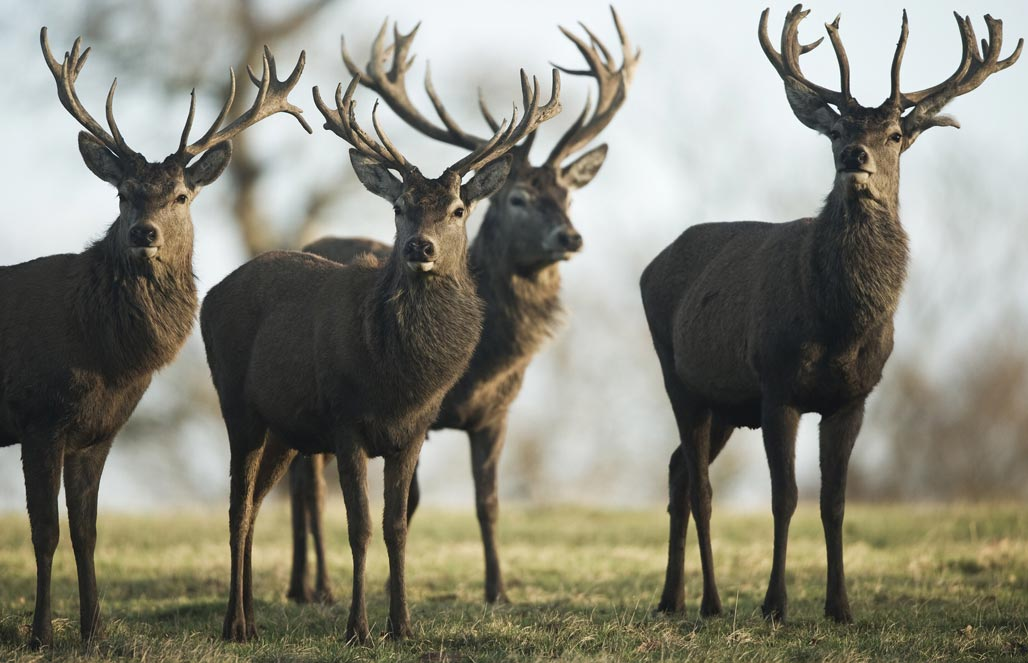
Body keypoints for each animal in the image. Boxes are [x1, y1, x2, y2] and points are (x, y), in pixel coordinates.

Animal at [0, 29, 308, 645]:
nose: (144, 234)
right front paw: (41, 634)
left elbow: (86, 531)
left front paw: (94, 631)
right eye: (123, 194)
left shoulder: (98, 432)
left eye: (182, 196)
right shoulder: (38, 416)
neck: (106, 356)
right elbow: (44, 533)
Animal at [196, 63, 559, 641]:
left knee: (254, 505)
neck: (399, 380)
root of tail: (210, 294)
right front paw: (358, 628)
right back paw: (237, 624)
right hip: (238, 405)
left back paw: (252, 615)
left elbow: (397, 526)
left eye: (458, 209)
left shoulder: (413, 430)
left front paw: (403, 625)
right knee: (238, 508)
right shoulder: (345, 420)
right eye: (400, 206)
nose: (420, 247)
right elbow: (360, 526)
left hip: (284, 430)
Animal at [277, 9, 637, 604]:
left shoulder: (497, 413)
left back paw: (305, 584)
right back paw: (315, 587)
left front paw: (498, 591)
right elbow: (408, 504)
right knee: (308, 488)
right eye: (517, 198)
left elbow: (487, 503)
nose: (571, 237)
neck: (485, 363)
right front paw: (391, 588)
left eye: (568, 196)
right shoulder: (414, 414)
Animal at [641, 5, 1019, 624]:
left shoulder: (853, 397)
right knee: (700, 487)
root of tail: (651, 266)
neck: (840, 324)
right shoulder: (777, 387)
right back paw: (710, 602)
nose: (854, 158)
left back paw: (671, 599)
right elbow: (785, 497)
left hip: (725, 403)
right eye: (838, 131)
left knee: (677, 472)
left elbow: (836, 502)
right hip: (680, 377)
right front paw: (774, 604)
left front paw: (840, 606)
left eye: (895, 134)